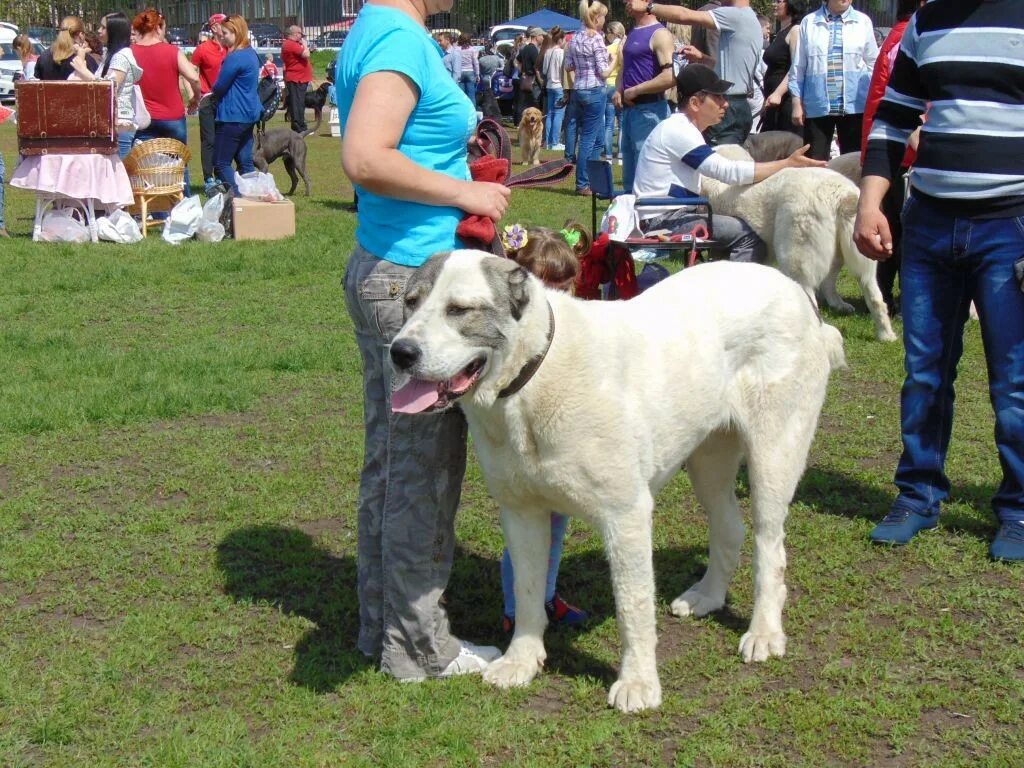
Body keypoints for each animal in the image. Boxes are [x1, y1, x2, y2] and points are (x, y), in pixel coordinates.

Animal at [387, 252, 843, 716]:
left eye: (459, 309)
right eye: (410, 302)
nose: (400, 352)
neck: (533, 375)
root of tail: (793, 289)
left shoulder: (626, 516)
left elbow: (633, 605)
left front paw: (638, 683)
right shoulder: (521, 513)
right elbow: (527, 589)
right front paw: (522, 661)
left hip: (773, 455)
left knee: (770, 545)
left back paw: (765, 632)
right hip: (707, 458)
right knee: (729, 528)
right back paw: (707, 596)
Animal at [708, 146, 892, 342]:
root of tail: (840, 194)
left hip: (796, 253)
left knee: (809, 294)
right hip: (860, 245)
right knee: (870, 292)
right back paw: (883, 333)